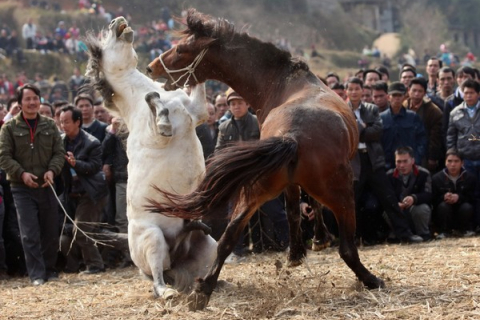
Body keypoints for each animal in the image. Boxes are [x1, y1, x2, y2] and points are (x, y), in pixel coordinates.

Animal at [84, 16, 216, 298]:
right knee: (157, 278)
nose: (117, 21)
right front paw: (162, 117)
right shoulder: (155, 135)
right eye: (105, 42)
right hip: (153, 240)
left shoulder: (197, 112)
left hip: (208, 247)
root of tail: (176, 255)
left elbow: (194, 90)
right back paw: (167, 292)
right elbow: (154, 104)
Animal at [145, 8, 382, 310]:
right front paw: (311, 244)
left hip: (254, 191)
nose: (151, 67)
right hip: (341, 194)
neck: (283, 83)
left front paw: (300, 251)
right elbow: (301, 208)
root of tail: (291, 135)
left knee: (229, 235)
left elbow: (295, 210)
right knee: (348, 248)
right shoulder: (301, 185)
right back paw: (371, 279)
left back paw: (203, 290)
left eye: (181, 49)